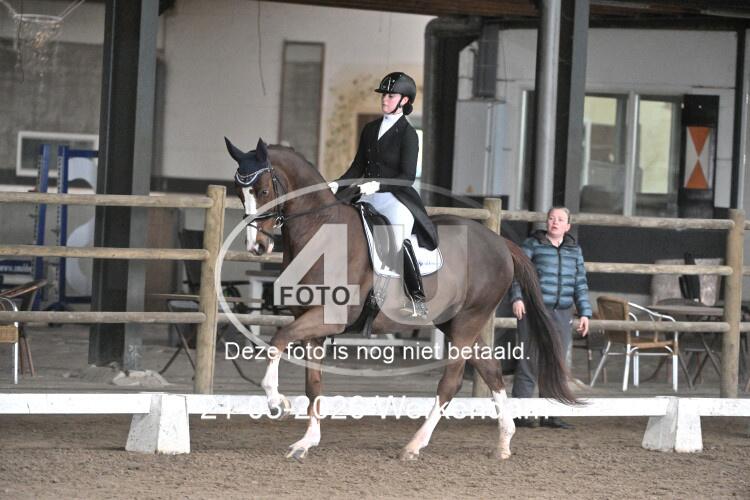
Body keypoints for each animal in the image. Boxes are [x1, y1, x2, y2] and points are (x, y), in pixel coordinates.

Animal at [225, 137, 577, 461]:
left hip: (468, 321)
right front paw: (305, 442)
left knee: (451, 382)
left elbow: (278, 339)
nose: (257, 247)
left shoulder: (328, 317)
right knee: (490, 369)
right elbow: (313, 383)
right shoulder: (311, 321)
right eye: (240, 191)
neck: (321, 231)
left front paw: (277, 402)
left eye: (263, 190)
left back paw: (414, 445)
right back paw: (504, 442)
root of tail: (500, 243)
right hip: (456, 322)